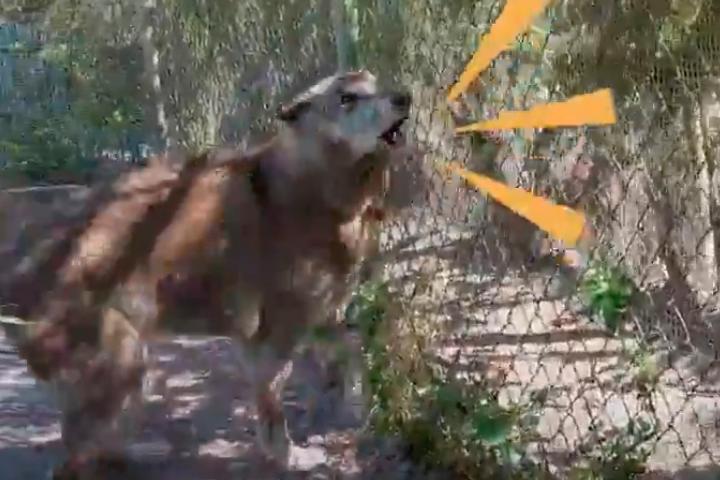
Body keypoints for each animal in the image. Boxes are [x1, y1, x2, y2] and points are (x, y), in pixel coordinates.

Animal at [0, 70, 410, 476]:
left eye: (375, 82)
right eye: (347, 98)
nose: (404, 96)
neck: (312, 187)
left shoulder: (315, 317)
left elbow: (353, 351)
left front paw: (354, 405)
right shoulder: (275, 334)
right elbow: (273, 405)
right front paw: (286, 456)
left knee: (99, 441)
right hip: (123, 361)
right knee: (75, 456)